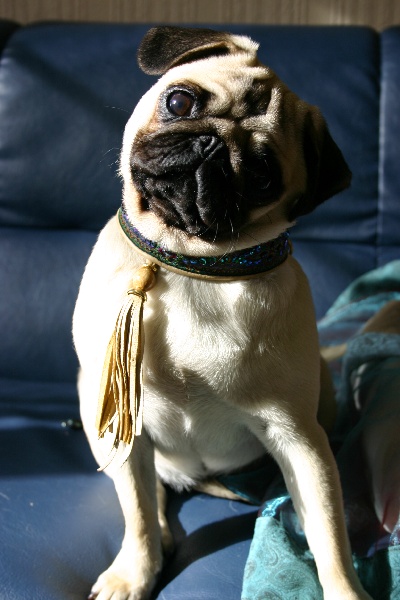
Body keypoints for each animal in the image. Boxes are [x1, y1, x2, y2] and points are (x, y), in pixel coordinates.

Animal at [73, 26, 372, 600]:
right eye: (179, 101)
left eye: (261, 175)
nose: (211, 144)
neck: (192, 265)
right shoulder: (125, 423)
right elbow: (137, 513)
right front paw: (134, 572)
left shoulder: (300, 440)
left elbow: (330, 535)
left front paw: (346, 590)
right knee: (148, 492)